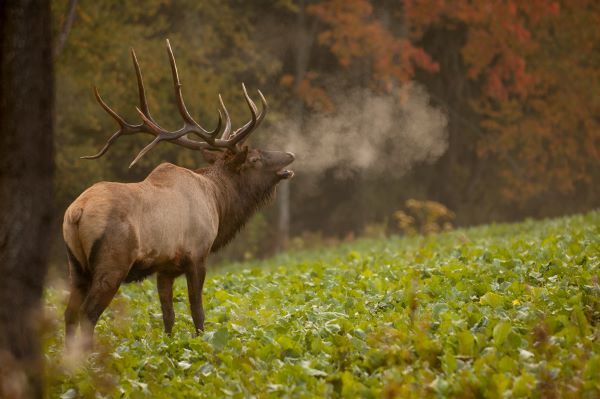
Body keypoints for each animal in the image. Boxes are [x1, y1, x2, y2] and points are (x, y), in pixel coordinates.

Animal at [62, 39, 294, 348]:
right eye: (255, 158)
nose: (290, 155)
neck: (219, 202)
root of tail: (77, 212)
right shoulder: (197, 254)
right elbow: (198, 312)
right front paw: (201, 346)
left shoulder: (165, 267)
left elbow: (168, 316)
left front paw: (171, 349)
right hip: (111, 263)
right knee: (88, 315)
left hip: (75, 265)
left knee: (69, 314)